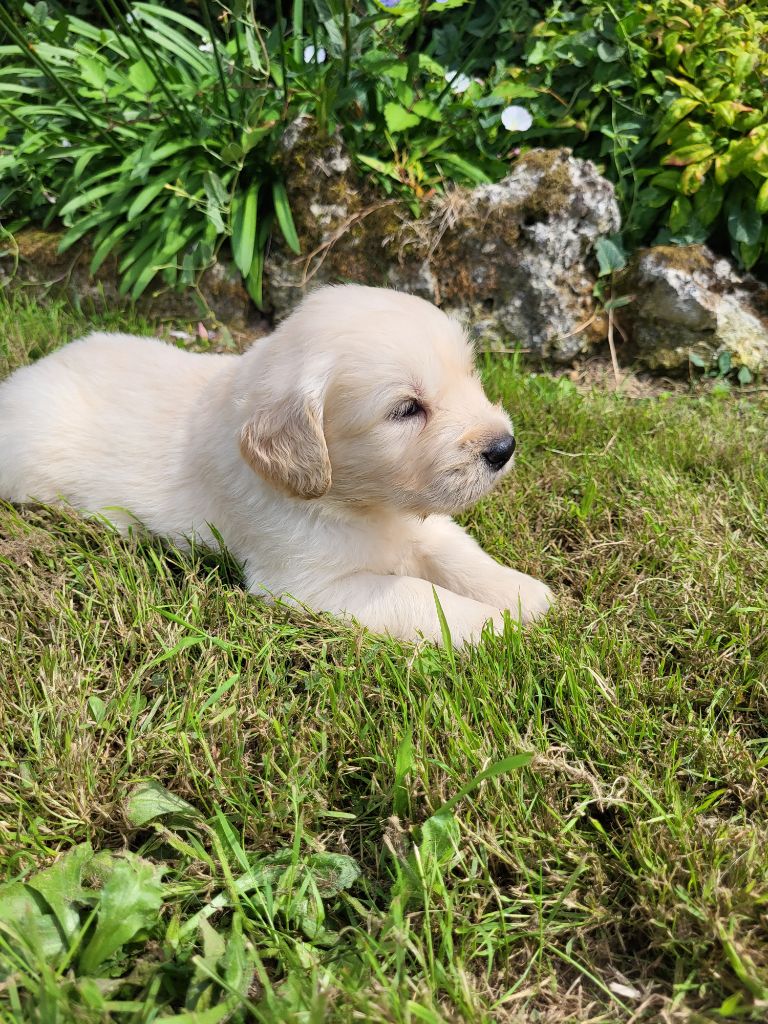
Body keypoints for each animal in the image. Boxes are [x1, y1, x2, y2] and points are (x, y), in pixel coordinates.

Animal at [0, 285, 553, 646]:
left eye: (470, 375)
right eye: (405, 409)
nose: (504, 447)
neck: (360, 503)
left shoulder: (424, 526)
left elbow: (458, 556)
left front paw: (522, 596)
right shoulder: (311, 586)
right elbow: (419, 595)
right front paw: (494, 627)